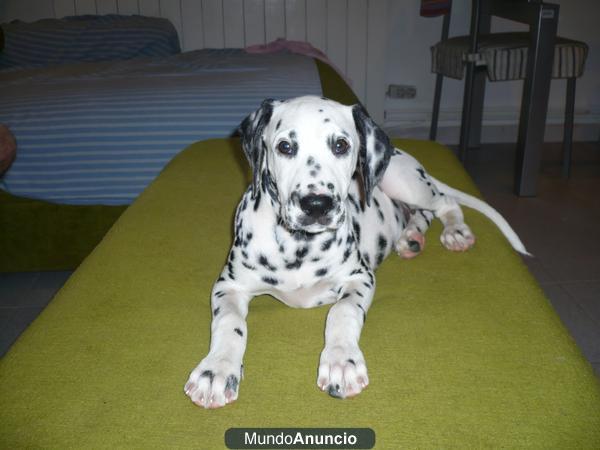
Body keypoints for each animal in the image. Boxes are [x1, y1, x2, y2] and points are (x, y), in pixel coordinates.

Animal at [182, 95, 524, 408]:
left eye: (341, 145)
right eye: (285, 147)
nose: (316, 204)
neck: (299, 246)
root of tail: (405, 154)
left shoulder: (360, 278)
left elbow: (342, 311)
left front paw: (341, 361)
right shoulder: (229, 285)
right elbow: (229, 322)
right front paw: (216, 369)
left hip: (403, 181)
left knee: (444, 202)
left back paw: (455, 232)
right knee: (423, 214)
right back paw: (410, 237)